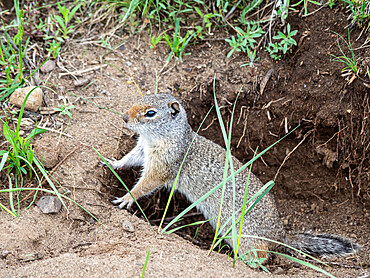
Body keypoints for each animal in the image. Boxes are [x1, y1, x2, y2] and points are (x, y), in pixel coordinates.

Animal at [102, 94, 360, 260]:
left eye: (151, 113)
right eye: (143, 94)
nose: (124, 117)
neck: (162, 138)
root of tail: (280, 236)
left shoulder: (162, 166)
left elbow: (146, 184)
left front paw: (126, 197)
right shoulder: (142, 150)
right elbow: (129, 159)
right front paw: (112, 162)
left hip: (247, 240)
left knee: (260, 259)